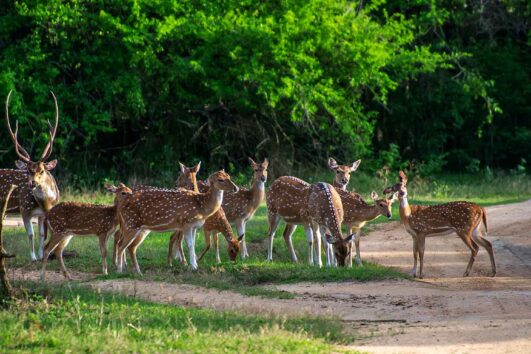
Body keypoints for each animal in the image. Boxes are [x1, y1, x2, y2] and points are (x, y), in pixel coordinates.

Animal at [2, 90, 60, 262]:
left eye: (42, 170)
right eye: (27, 171)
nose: (32, 183)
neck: (45, 203)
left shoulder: (43, 214)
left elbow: (41, 234)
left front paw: (41, 256)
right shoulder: (24, 209)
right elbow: (30, 233)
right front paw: (33, 257)